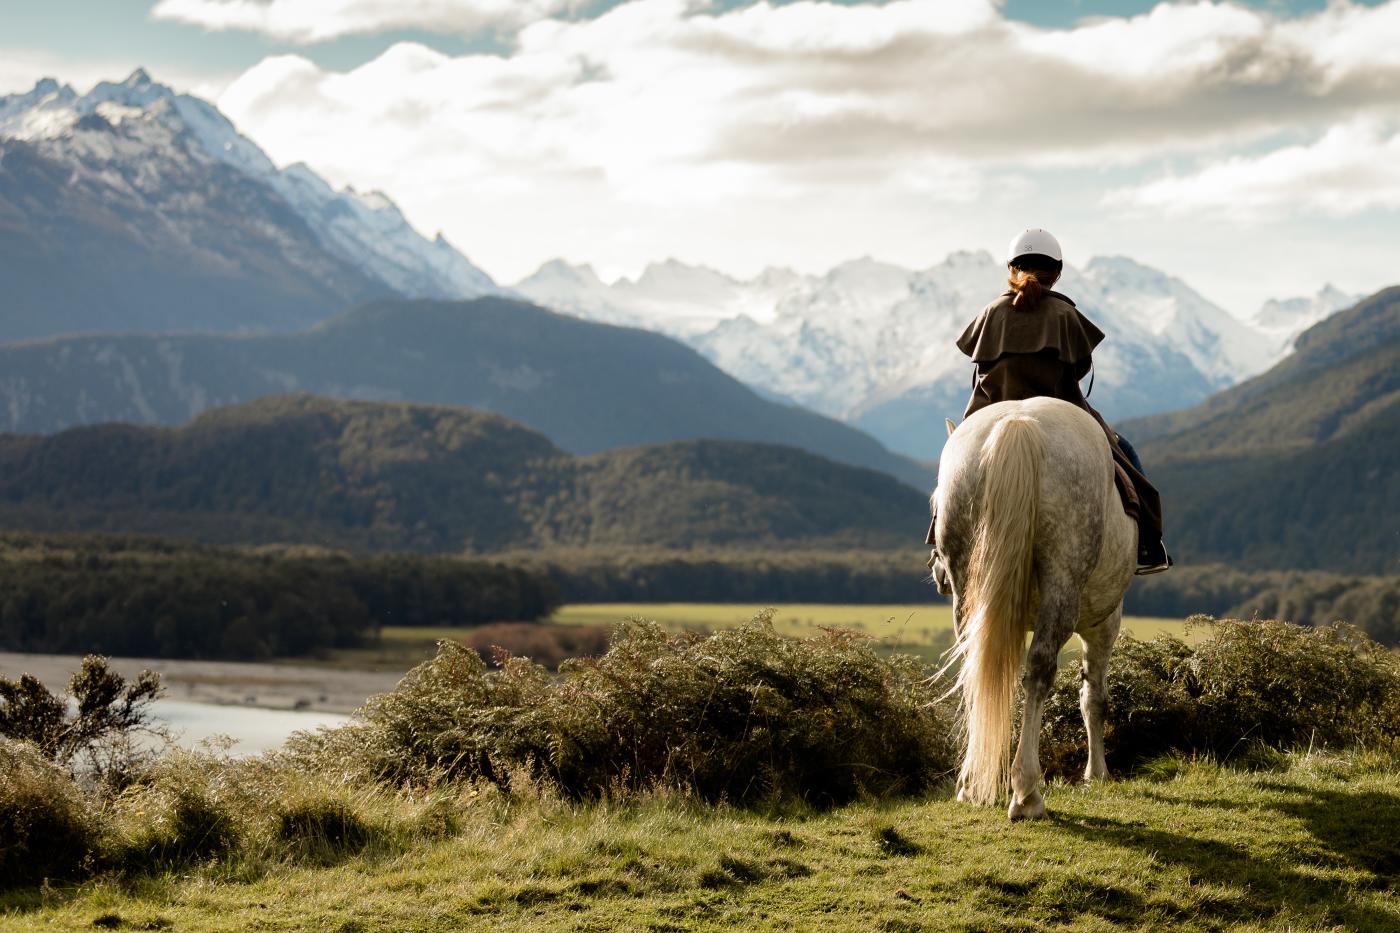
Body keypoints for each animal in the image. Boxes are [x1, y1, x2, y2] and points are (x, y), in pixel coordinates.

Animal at [929, 395, 1136, 818]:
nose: (937, 576)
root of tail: (1018, 422)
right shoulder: (1105, 621)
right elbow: (1094, 698)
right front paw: (1097, 773)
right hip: (1063, 579)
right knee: (1040, 671)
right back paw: (1026, 792)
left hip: (969, 592)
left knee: (977, 668)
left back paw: (972, 785)